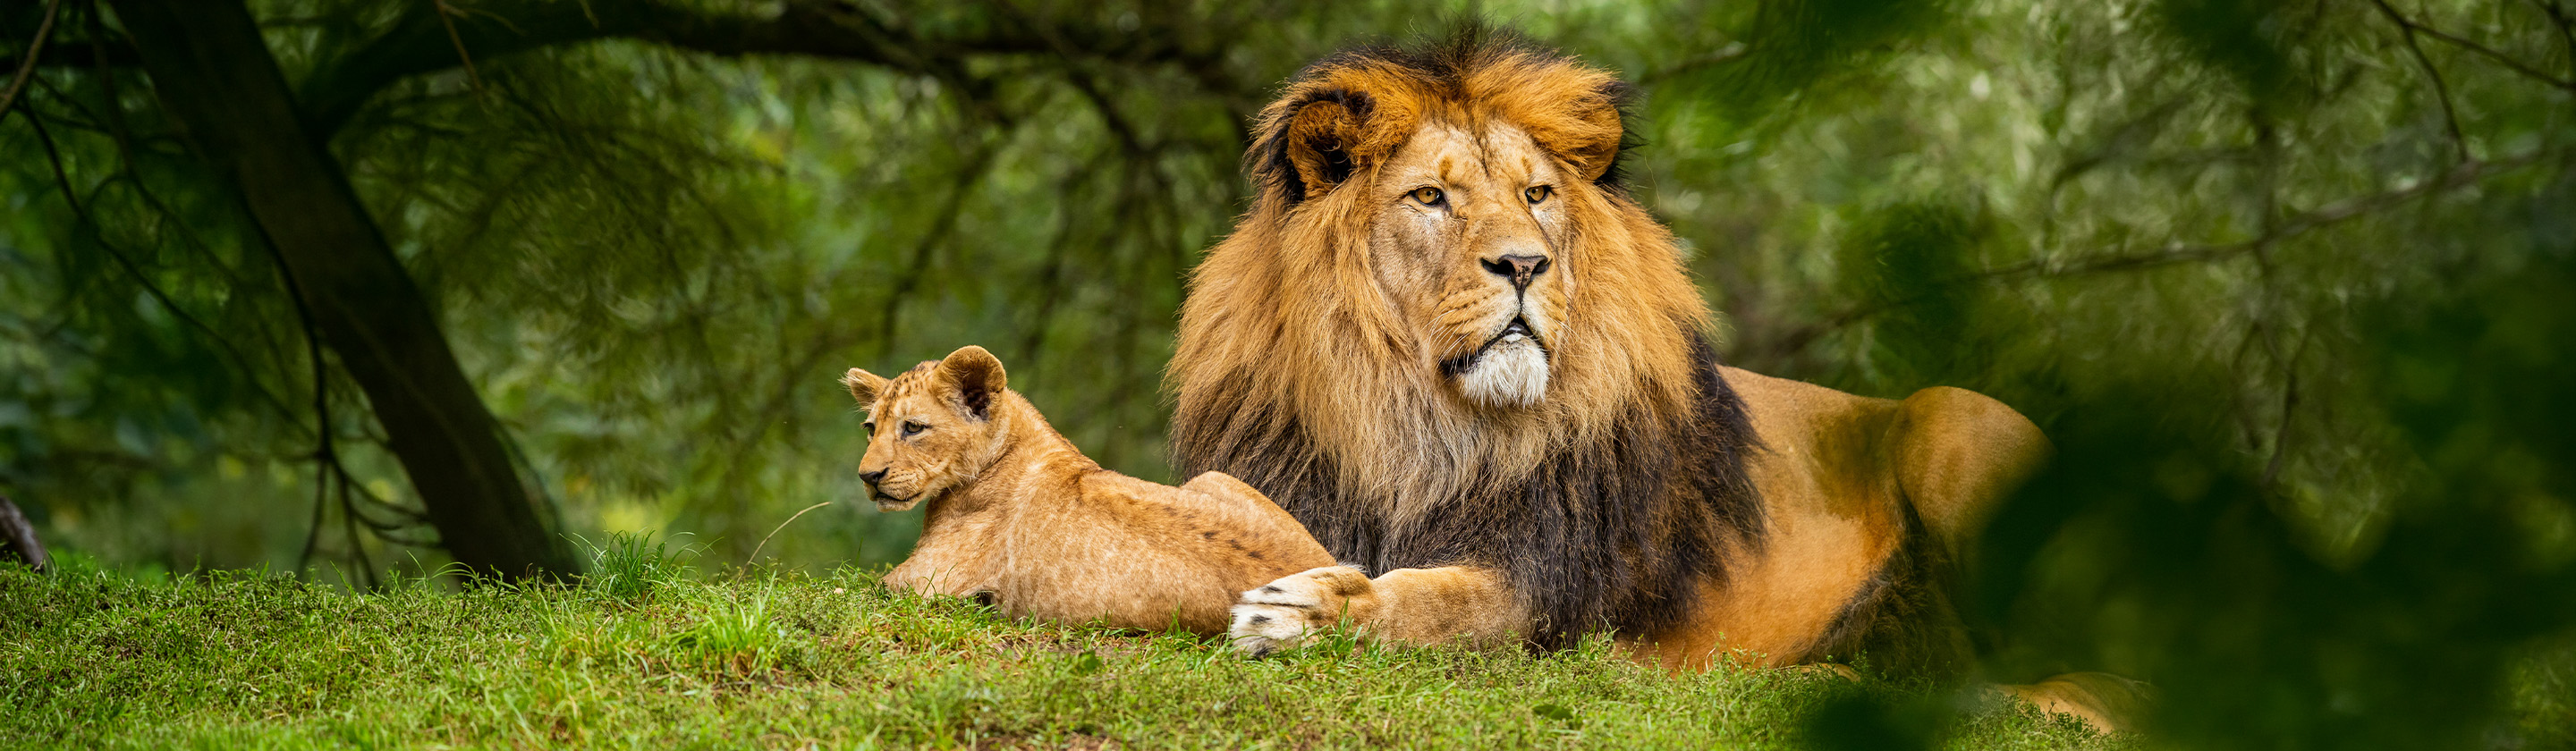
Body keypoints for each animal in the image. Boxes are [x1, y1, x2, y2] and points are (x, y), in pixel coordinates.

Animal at [845, 345, 1338, 634]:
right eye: (870, 429)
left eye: (913, 427)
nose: (868, 477)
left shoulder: (922, 583)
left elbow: (853, 590)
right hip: (1212, 477)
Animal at [1166, 34, 2136, 731]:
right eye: (1430, 199)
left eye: (1537, 195)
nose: (1525, 265)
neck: (1417, 423)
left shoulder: (1544, 586)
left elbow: (1432, 601)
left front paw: (1303, 611)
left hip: (1954, 421)